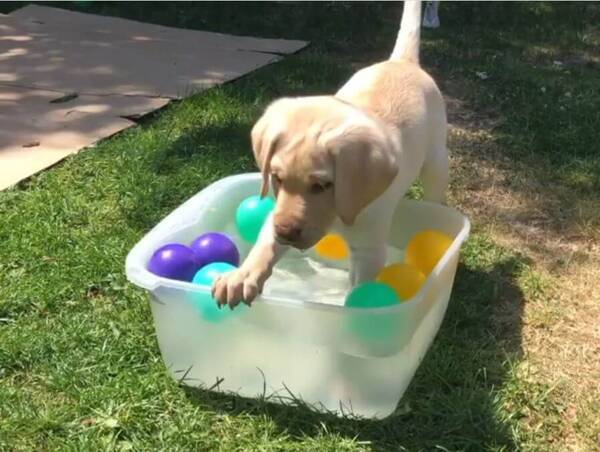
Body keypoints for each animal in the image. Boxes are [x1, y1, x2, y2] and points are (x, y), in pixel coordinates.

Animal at [213, 0, 448, 308]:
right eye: (276, 178)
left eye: (323, 185)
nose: (286, 233)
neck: (338, 214)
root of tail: (402, 62)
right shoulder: (278, 211)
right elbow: (265, 244)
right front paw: (241, 277)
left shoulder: (369, 250)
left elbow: (358, 289)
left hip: (436, 160)